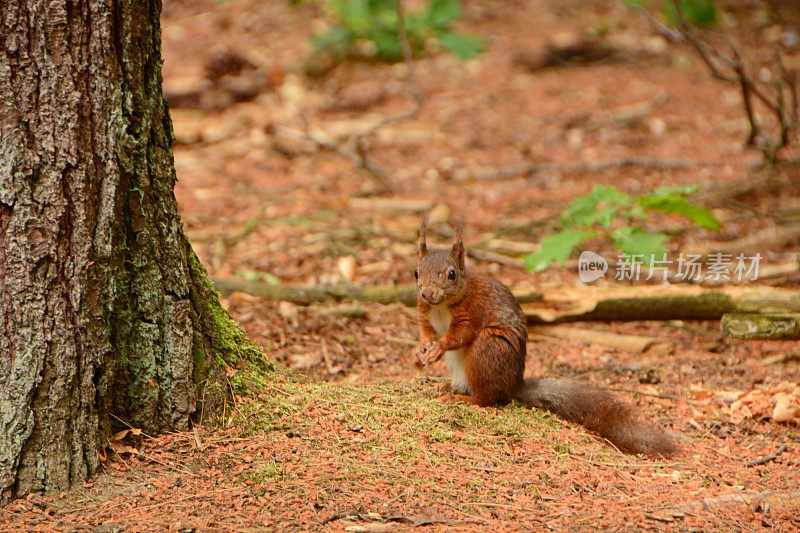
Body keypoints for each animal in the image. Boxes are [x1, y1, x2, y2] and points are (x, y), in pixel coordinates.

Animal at [416, 214, 680, 456]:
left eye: (451, 274)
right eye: (416, 273)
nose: (427, 293)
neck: (442, 305)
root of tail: (513, 385)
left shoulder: (472, 311)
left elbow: (460, 334)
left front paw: (439, 347)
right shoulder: (424, 312)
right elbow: (425, 331)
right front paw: (420, 350)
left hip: (488, 348)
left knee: (490, 397)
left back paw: (465, 399)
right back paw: (448, 388)